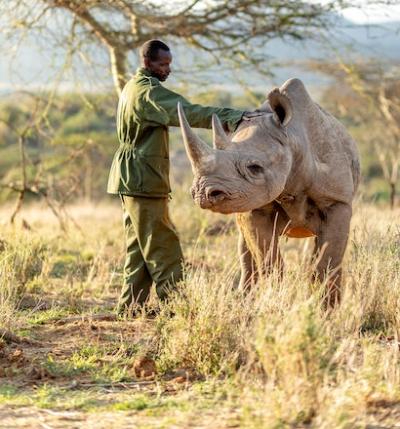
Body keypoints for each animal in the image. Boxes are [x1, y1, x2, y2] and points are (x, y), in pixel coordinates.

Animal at [177, 77, 360, 304]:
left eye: (255, 168)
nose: (203, 193)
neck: (293, 138)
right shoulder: (253, 204)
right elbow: (268, 259)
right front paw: (275, 298)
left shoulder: (337, 201)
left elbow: (328, 261)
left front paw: (326, 308)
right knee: (246, 248)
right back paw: (244, 300)